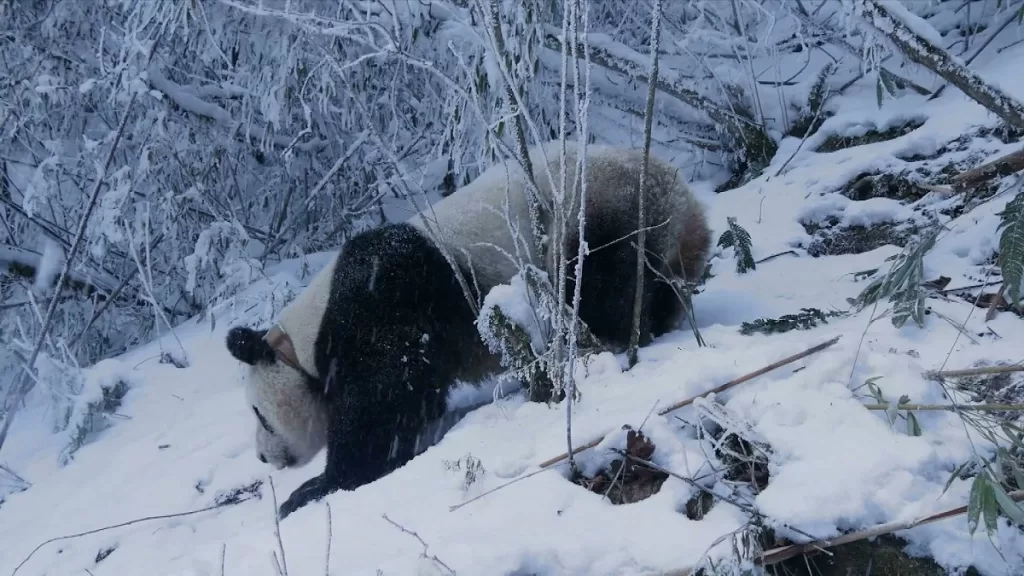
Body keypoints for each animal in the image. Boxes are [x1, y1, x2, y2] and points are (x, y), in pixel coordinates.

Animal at [225, 139, 712, 519]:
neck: (306, 339)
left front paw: (311, 490)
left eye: (258, 414)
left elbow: (383, 411)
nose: (264, 455)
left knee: (598, 283)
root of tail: (683, 203)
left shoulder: (383, 301)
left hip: (595, 211)